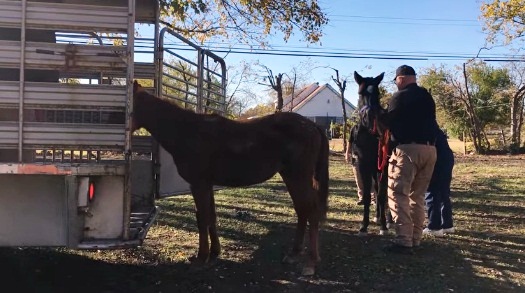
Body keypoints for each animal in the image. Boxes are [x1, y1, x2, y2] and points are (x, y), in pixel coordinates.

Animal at [132, 80, 328, 274]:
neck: (189, 131)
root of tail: (312, 126)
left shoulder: (199, 184)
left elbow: (202, 218)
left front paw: (201, 258)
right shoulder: (207, 185)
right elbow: (211, 216)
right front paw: (214, 253)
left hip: (299, 176)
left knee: (310, 210)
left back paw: (311, 262)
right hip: (291, 176)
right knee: (302, 210)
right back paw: (294, 253)